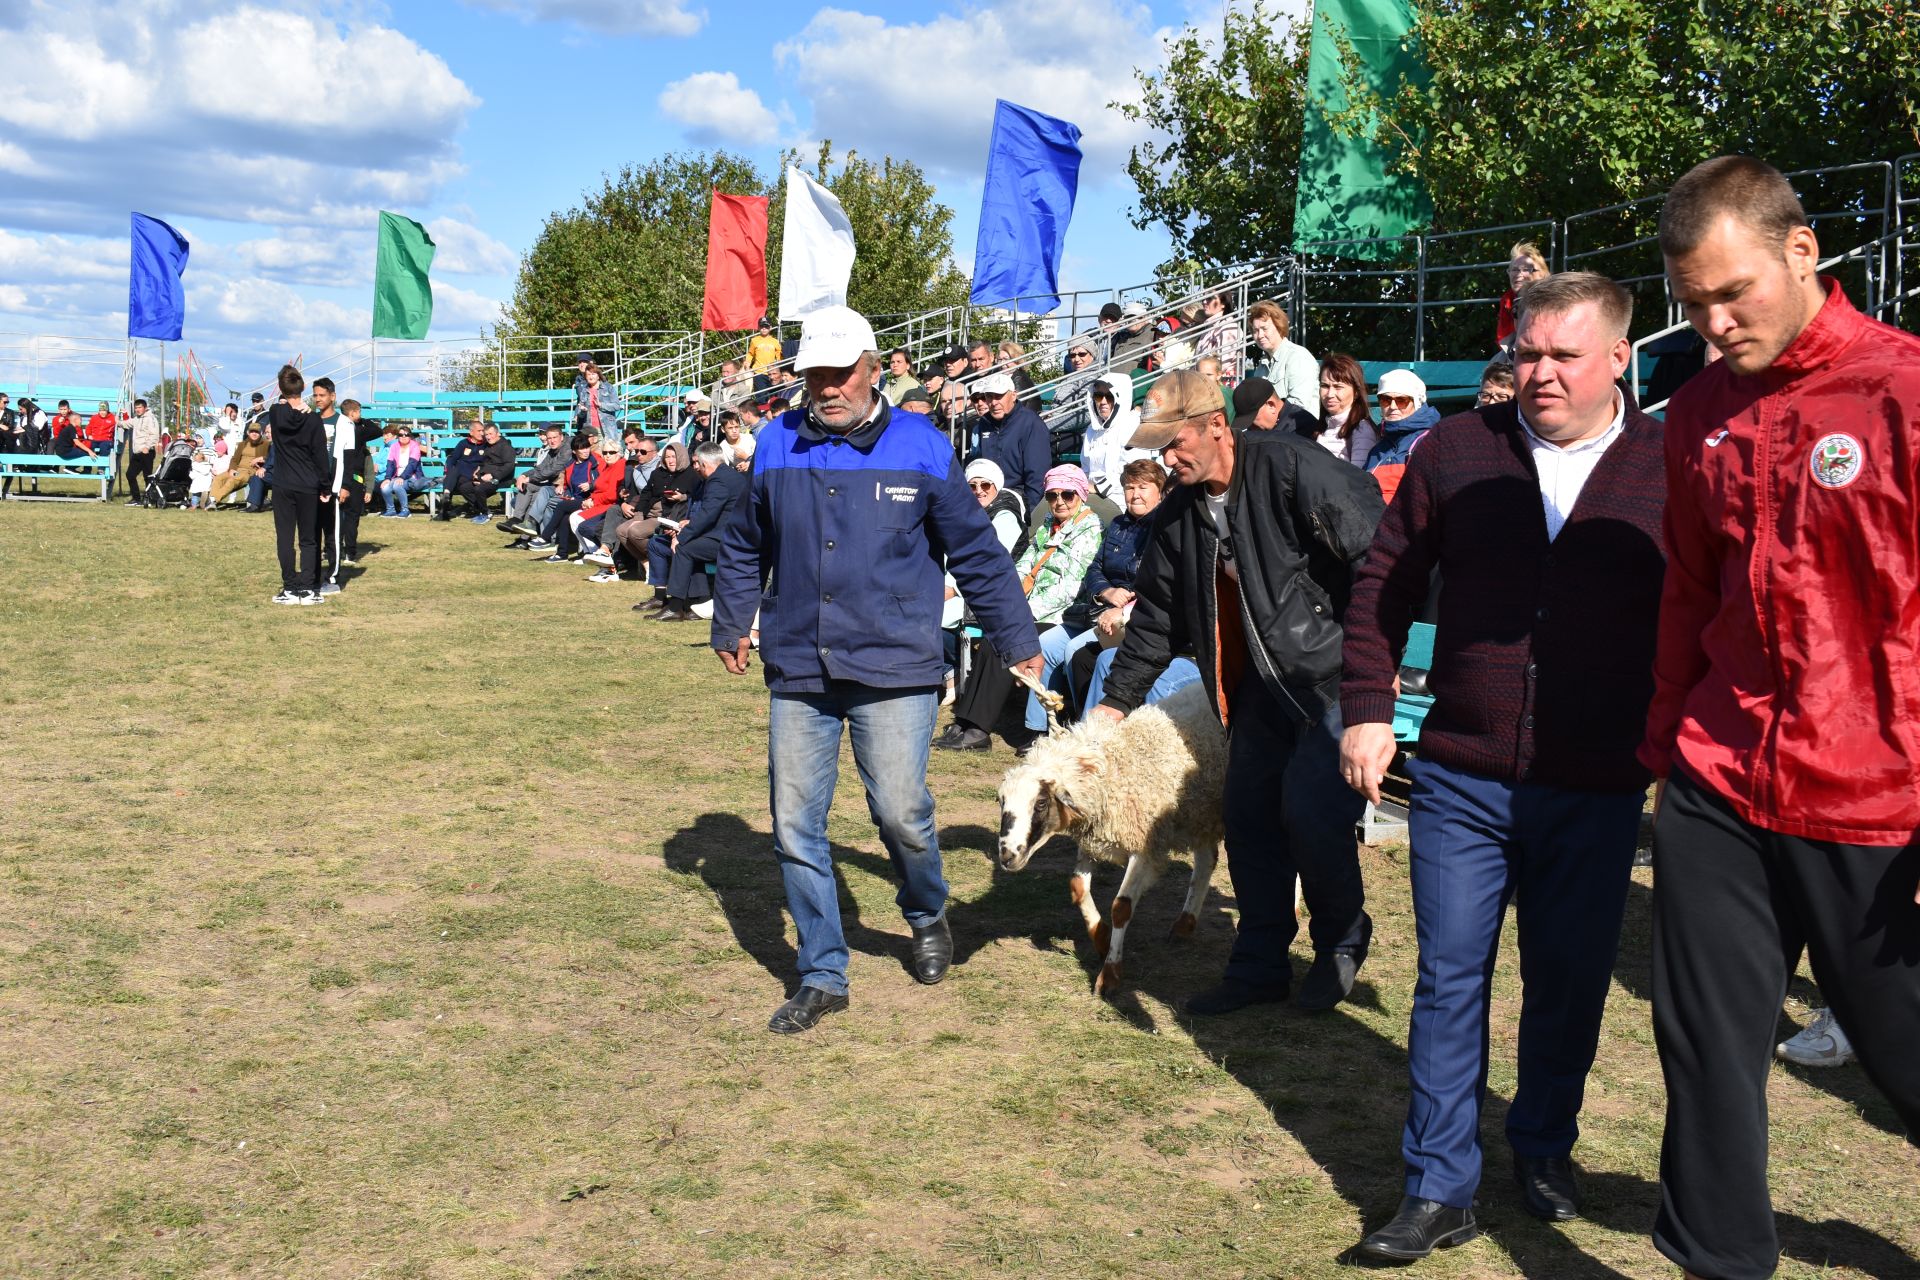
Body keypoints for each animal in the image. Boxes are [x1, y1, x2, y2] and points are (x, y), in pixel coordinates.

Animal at [998, 687, 1221, 997]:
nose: (1007, 855)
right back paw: (1184, 925)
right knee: (1206, 861)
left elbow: (1121, 907)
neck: (1111, 771)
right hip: (1200, 812)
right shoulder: (1094, 839)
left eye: (1041, 803)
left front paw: (1111, 974)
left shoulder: (1143, 847)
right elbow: (1078, 887)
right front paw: (1101, 939)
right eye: (1001, 802)